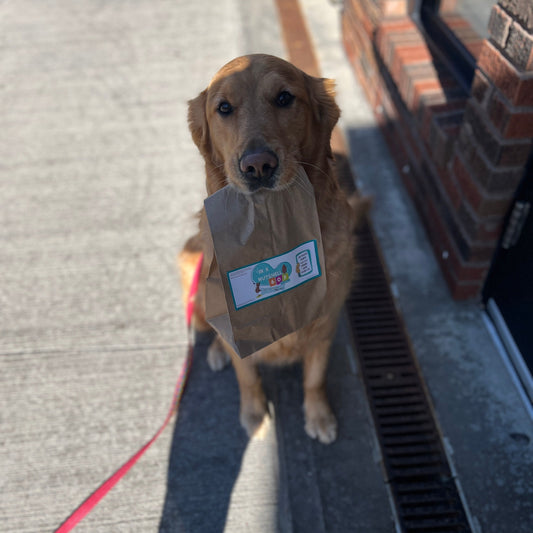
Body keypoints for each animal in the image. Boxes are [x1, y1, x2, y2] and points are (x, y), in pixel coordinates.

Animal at [179, 55, 366, 444]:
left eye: (284, 98)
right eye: (224, 108)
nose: (258, 165)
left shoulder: (325, 321)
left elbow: (315, 377)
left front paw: (319, 415)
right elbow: (247, 376)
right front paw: (253, 415)